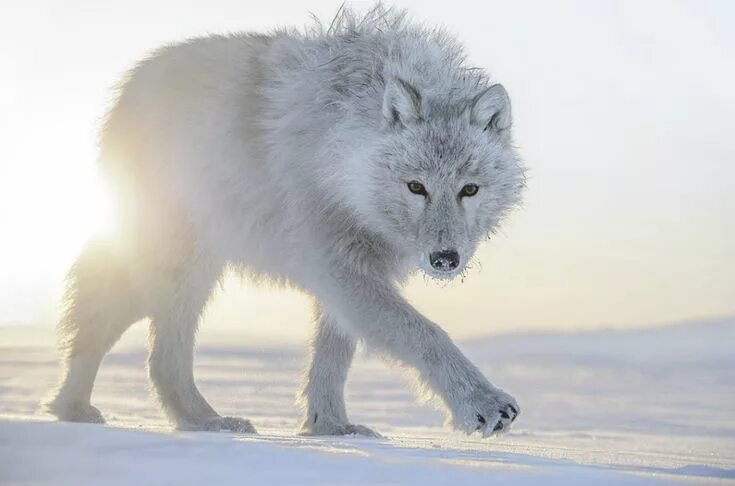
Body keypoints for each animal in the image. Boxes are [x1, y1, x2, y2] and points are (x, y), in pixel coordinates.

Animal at [46, 4, 528, 436]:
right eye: (416, 187)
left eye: (469, 189)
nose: (445, 259)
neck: (344, 152)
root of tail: (132, 82)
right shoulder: (337, 264)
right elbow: (426, 333)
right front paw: (483, 404)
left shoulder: (349, 273)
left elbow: (333, 358)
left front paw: (331, 427)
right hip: (168, 268)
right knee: (113, 329)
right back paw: (106, 412)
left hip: (194, 273)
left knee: (152, 350)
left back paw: (183, 419)